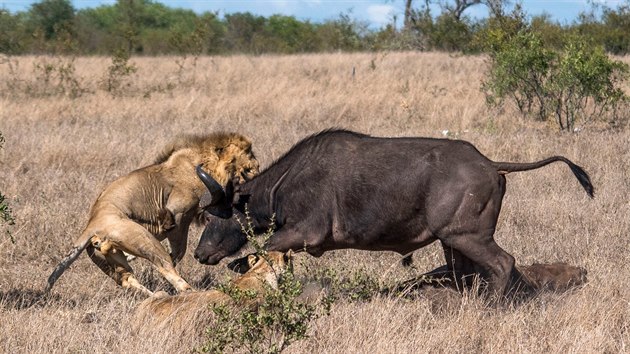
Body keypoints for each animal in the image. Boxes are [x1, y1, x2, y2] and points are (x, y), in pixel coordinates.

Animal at [45, 131, 260, 294]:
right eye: (248, 158)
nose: (259, 169)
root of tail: (92, 224)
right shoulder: (178, 214)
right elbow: (179, 250)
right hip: (144, 239)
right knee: (167, 268)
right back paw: (189, 292)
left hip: (109, 260)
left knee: (128, 279)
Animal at [195, 130, 596, 296]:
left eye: (215, 216)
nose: (199, 254)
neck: (283, 184)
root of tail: (489, 164)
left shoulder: (304, 233)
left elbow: (259, 251)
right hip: (452, 243)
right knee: (466, 274)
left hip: (467, 236)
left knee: (503, 263)